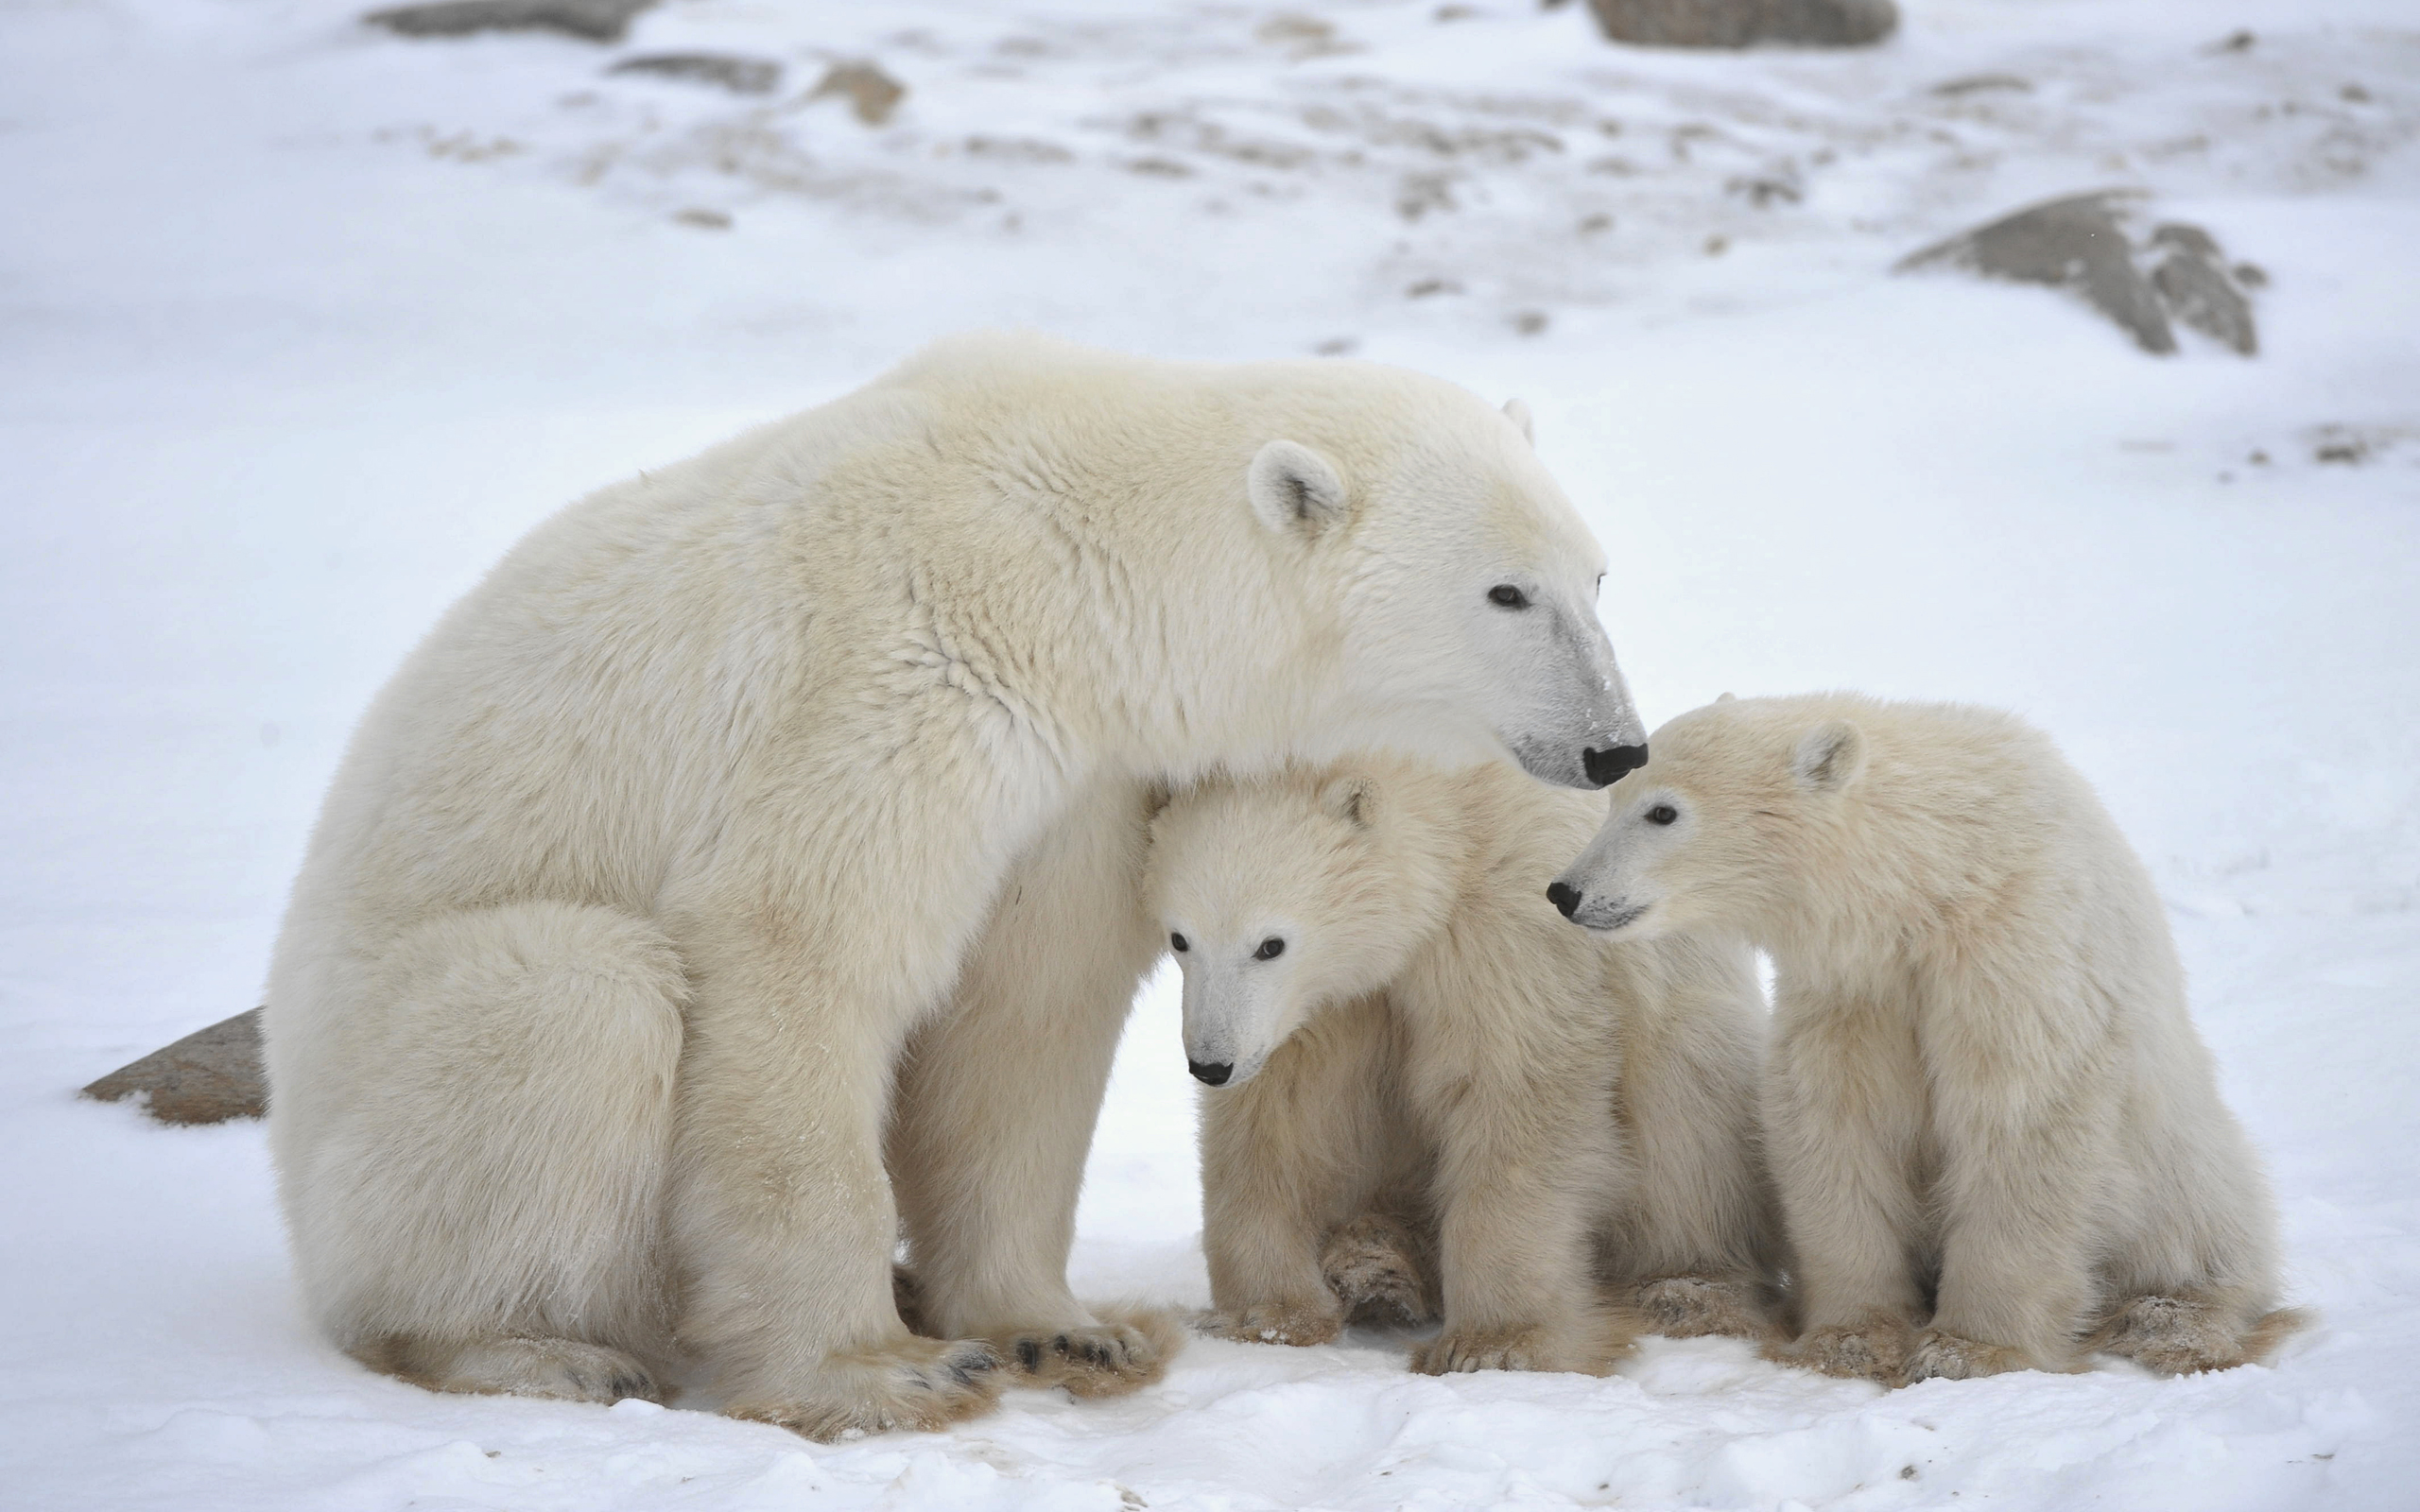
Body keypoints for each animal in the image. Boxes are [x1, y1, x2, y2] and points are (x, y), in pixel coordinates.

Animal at [265, 335, 1645, 1441]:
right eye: (1505, 589)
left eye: (1596, 576)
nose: (1616, 747)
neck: (1073, 557)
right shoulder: (894, 676)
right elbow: (800, 951)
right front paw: (880, 1374)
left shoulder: (1079, 779)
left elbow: (1024, 1014)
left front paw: (1065, 1330)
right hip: (377, 1098)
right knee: (575, 999)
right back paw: (530, 1346)